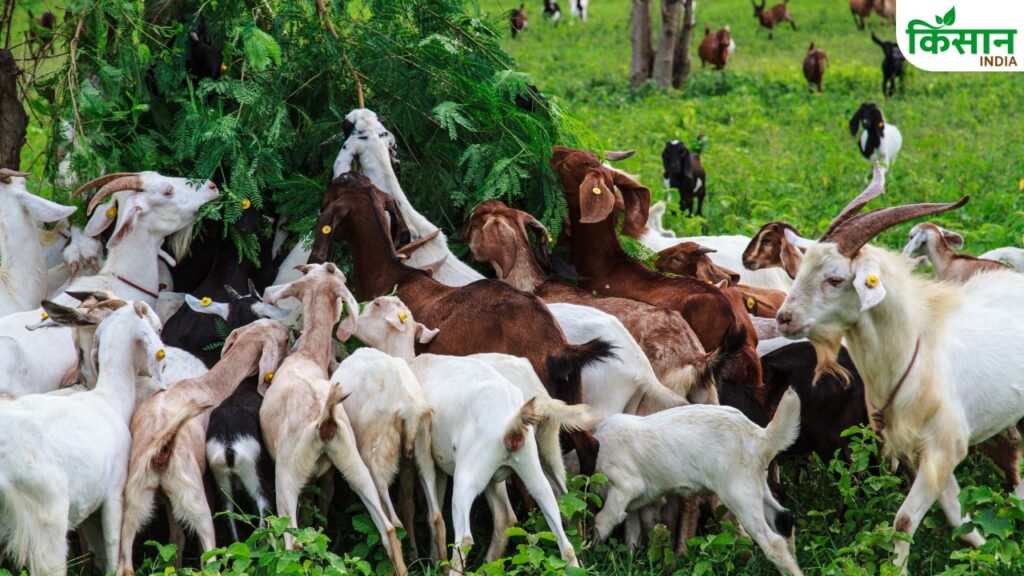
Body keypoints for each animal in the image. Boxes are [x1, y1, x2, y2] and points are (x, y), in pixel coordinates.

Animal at [116, 319, 289, 575]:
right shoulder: (207, 478)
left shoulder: (170, 499)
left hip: (136, 502)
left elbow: (176, 539)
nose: (289, 330)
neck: (210, 385)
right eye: (284, 339)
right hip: (195, 499)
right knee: (209, 558)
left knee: (125, 564)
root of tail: (161, 448)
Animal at [258, 263, 406, 572]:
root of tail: (325, 419)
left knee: (291, 542)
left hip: (286, 473)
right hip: (352, 460)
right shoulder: (325, 475)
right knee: (388, 528)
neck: (307, 356)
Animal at [594, 388, 803, 575]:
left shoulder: (625, 486)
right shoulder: (632, 503)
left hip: (738, 494)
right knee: (784, 519)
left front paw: (591, 555)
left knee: (772, 542)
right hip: (756, 485)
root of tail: (759, 435)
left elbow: (602, 522)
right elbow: (631, 531)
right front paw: (630, 561)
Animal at [774, 172, 1024, 569]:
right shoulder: (922, 453)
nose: (784, 318)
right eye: (800, 271)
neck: (914, 355)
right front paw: (992, 554)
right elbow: (957, 516)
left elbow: (903, 520)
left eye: (834, 279)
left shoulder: (944, 447)